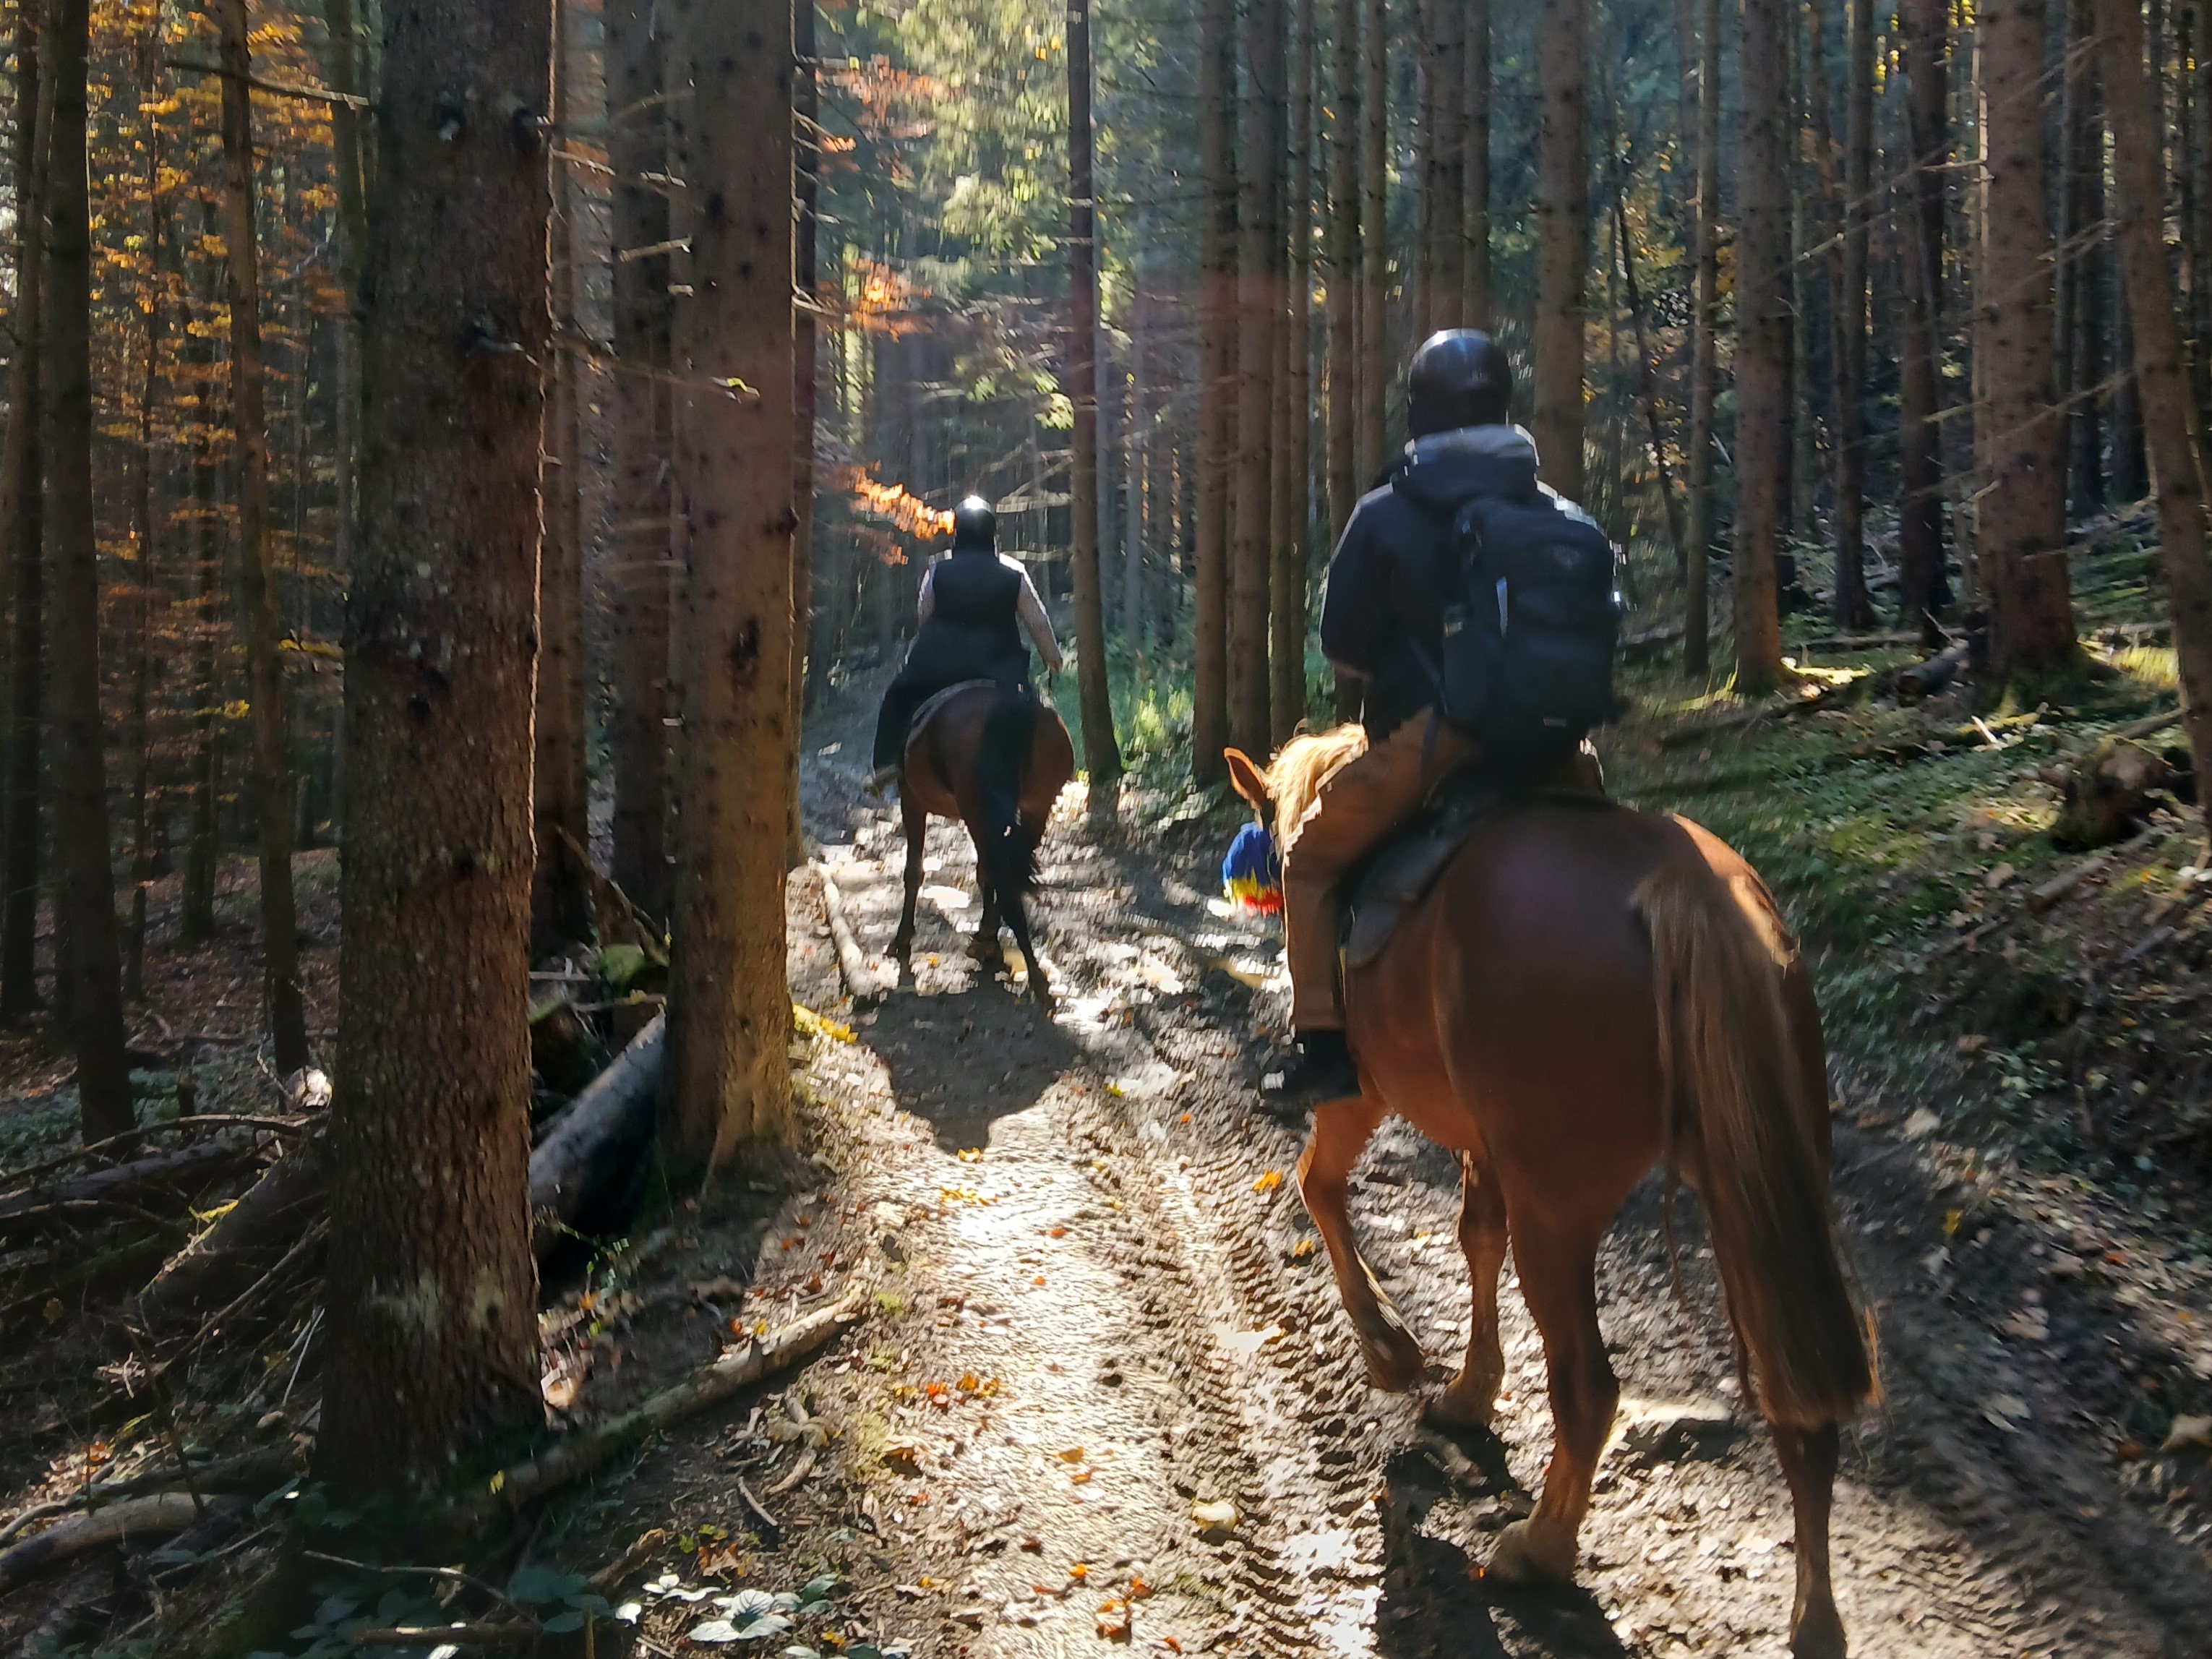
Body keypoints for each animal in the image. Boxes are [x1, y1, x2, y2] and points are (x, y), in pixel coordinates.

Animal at [889, 677, 1079, 1013]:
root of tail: (1013, 709)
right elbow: (983, 872)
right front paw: (987, 935)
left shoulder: (912, 801)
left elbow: (914, 871)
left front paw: (903, 938)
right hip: (1033, 808)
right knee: (1006, 873)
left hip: (977, 810)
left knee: (1005, 884)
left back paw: (1035, 979)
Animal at [1230, 729, 1866, 1659]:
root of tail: (1682, 891)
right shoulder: (1491, 1149)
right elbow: (1474, 1237)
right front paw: (1468, 1391)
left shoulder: (1361, 1092)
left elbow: (1320, 1186)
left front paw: (1392, 1350)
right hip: (1758, 1183)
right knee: (1799, 1399)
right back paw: (1814, 1619)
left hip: (1561, 1212)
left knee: (1588, 1388)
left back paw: (1538, 1551)